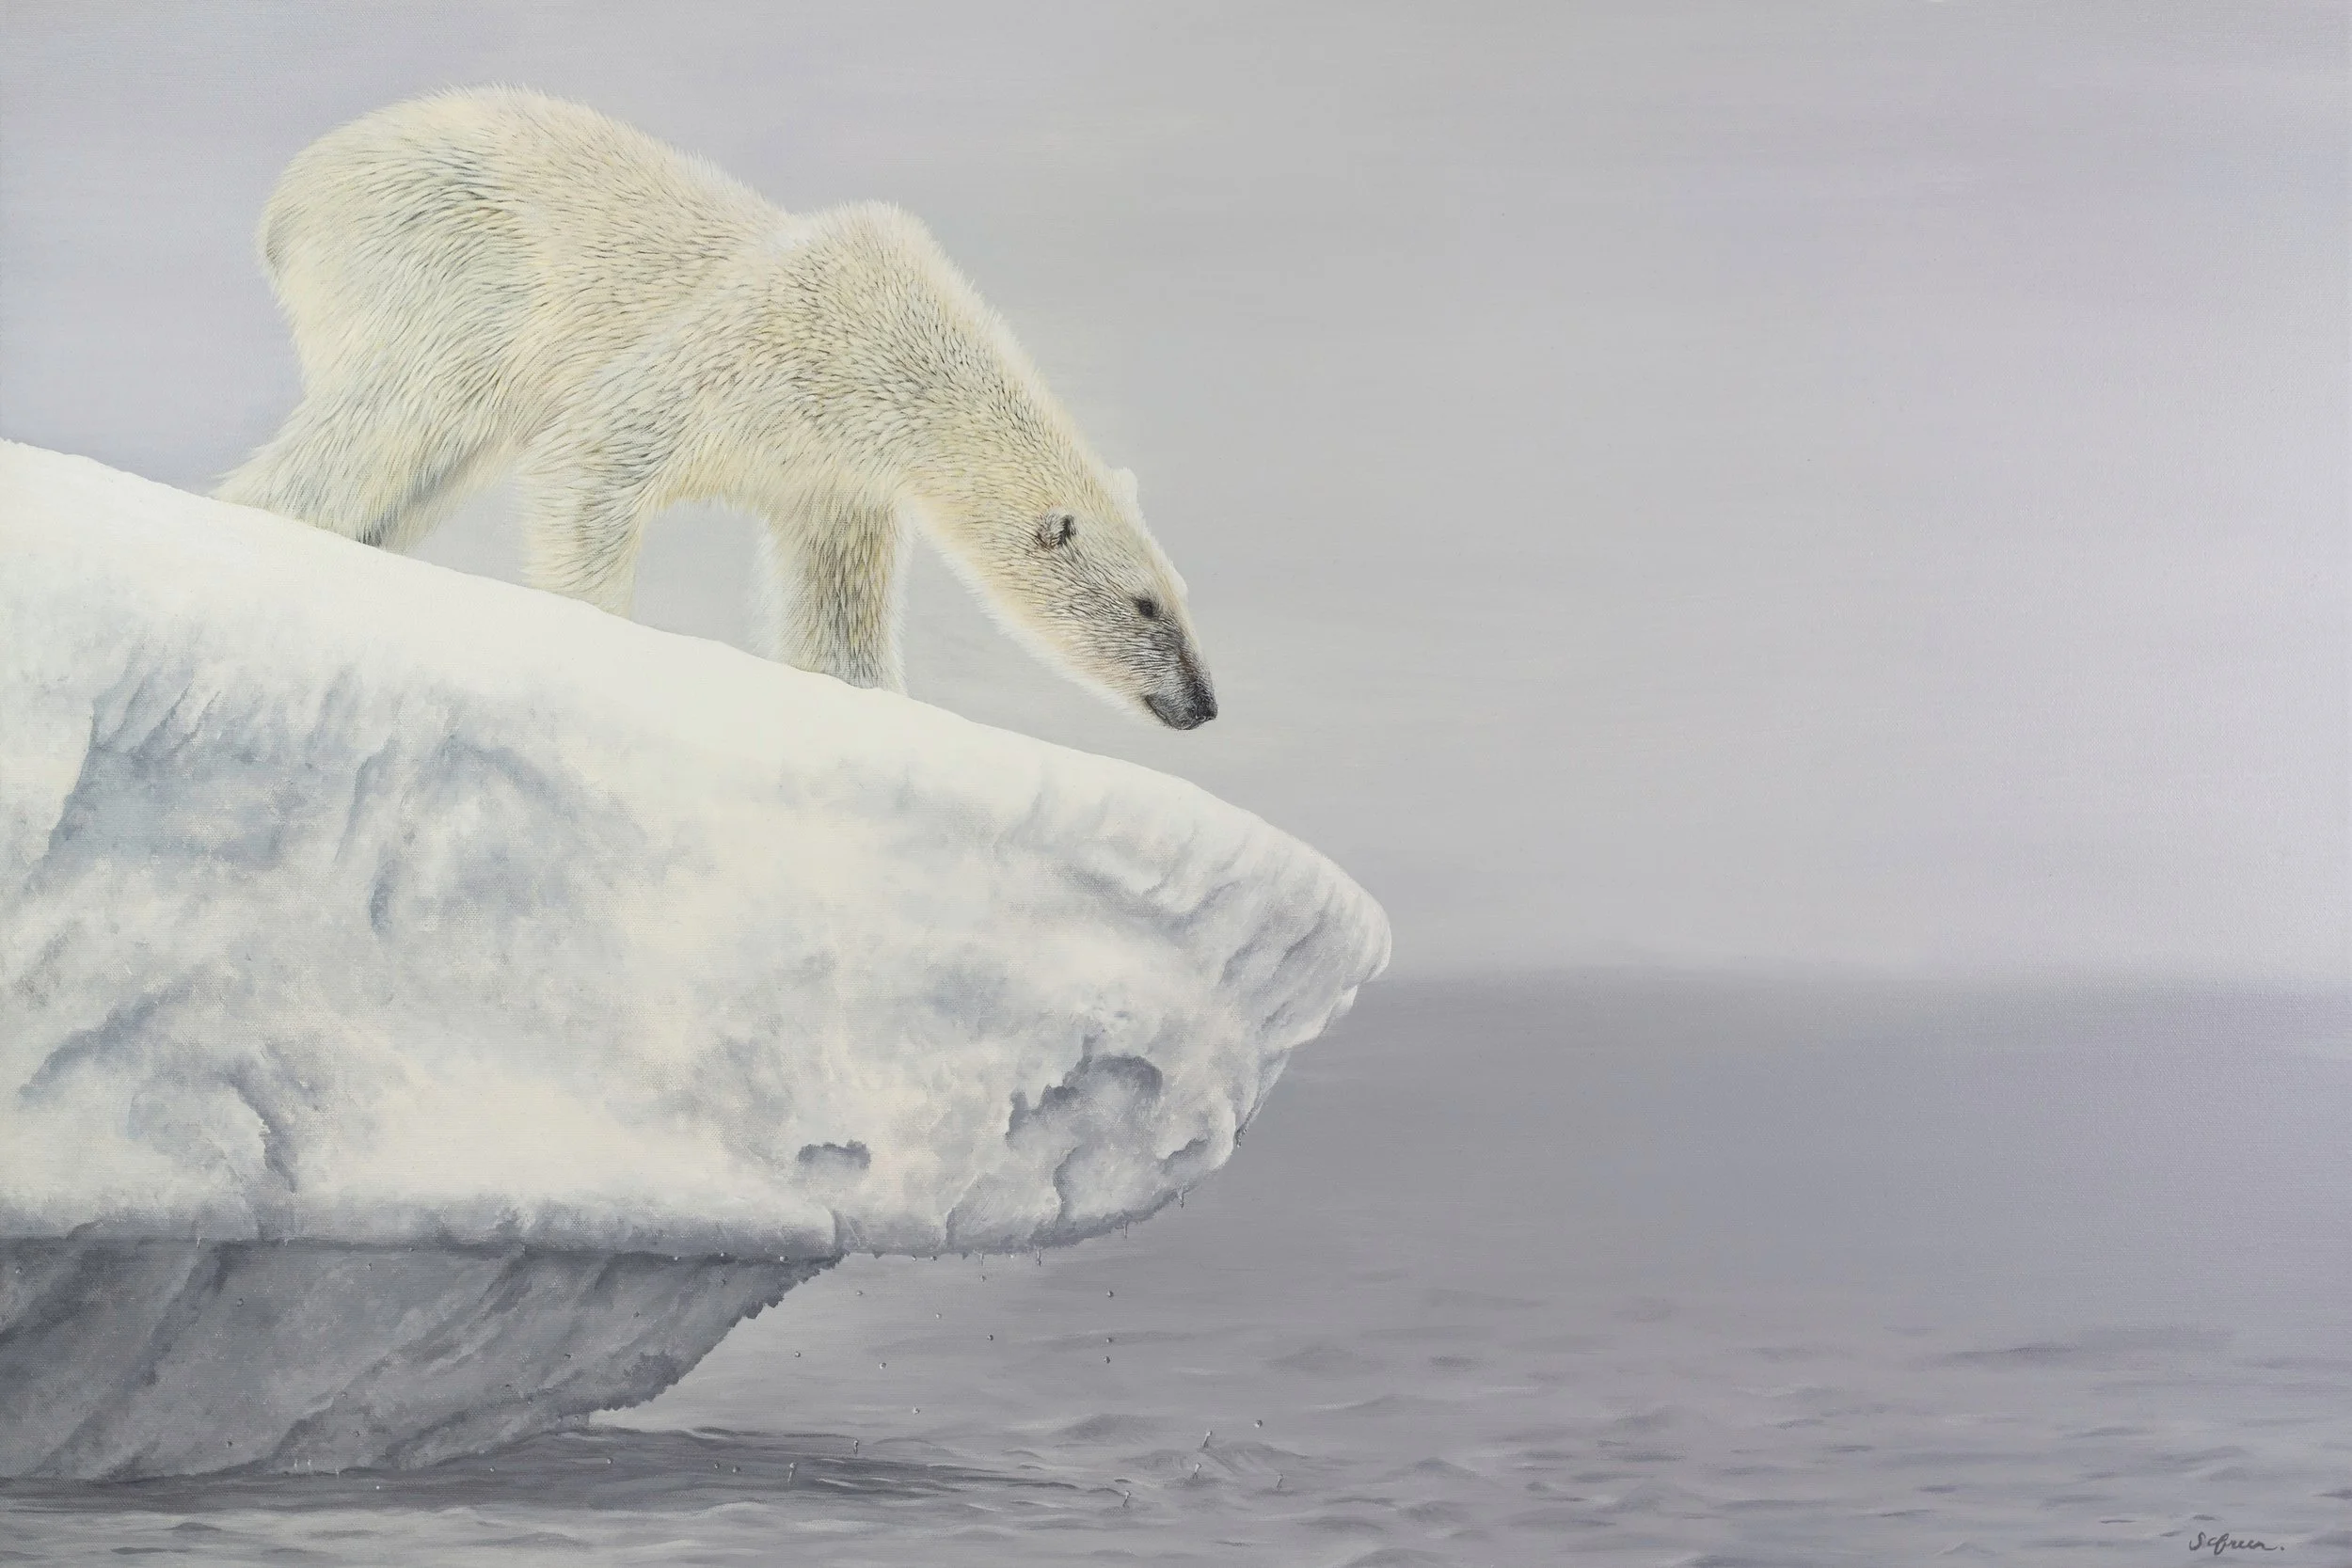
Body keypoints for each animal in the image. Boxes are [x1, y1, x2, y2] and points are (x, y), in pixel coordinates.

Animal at [216, 88, 1216, 728]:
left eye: (1181, 596)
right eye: (1143, 606)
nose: (1203, 704)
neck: (902, 344)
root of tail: (288, 195)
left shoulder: (839, 480)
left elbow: (835, 611)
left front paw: (865, 694)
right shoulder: (771, 345)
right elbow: (598, 451)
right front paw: (595, 637)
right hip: (446, 254)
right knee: (402, 403)